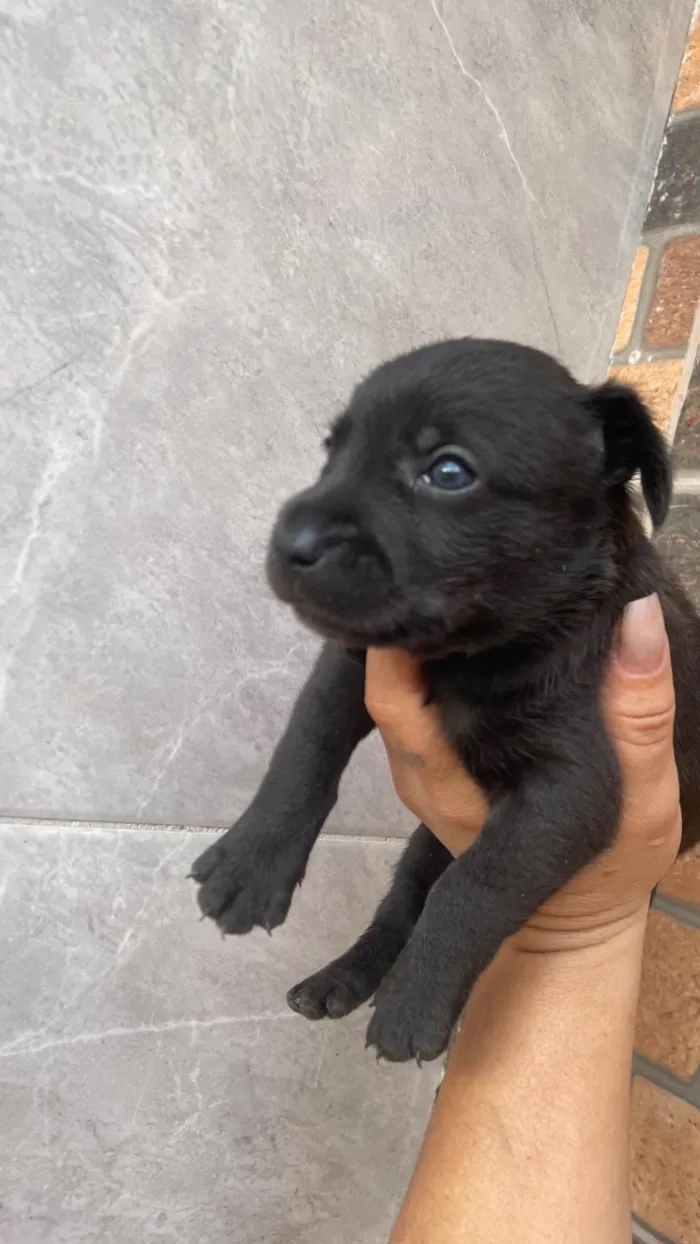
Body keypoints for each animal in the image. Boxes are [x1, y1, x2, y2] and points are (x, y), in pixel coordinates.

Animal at [188, 338, 700, 1059]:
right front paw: (252, 863)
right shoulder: (352, 664)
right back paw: (338, 980)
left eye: (449, 471)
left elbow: (474, 886)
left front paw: (417, 999)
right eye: (332, 452)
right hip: (421, 845)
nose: (289, 544)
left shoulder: (570, 790)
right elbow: (305, 748)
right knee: (399, 904)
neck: (470, 657)